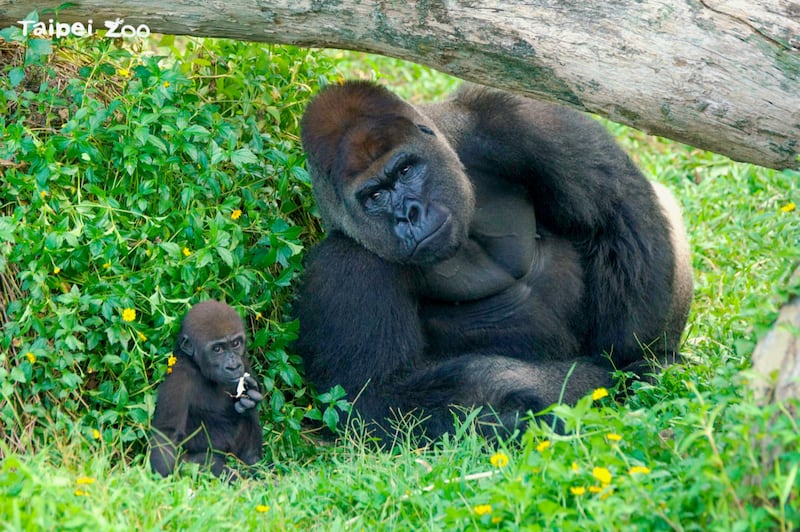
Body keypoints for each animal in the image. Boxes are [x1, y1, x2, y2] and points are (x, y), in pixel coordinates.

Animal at [148, 300, 260, 478]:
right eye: (217, 349)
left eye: (236, 344)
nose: (233, 366)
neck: (199, 368)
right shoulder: (178, 378)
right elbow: (167, 433)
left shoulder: (244, 361)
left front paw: (250, 399)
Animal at [296, 80, 692, 444]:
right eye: (374, 195)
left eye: (407, 169)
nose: (409, 214)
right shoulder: (346, 268)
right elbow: (380, 400)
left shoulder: (508, 119)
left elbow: (612, 205)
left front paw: (633, 356)